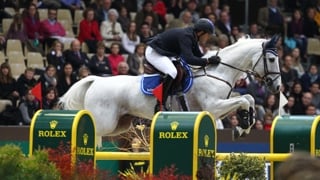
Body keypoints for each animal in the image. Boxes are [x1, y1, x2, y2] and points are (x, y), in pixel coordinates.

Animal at [59, 35, 280, 146]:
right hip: (106, 121)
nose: (277, 87)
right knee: (93, 131)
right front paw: (243, 125)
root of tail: (96, 80)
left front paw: (244, 125)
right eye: (271, 59)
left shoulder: (220, 105)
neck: (218, 71)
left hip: (120, 124)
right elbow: (244, 99)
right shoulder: (214, 107)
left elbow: (248, 98)